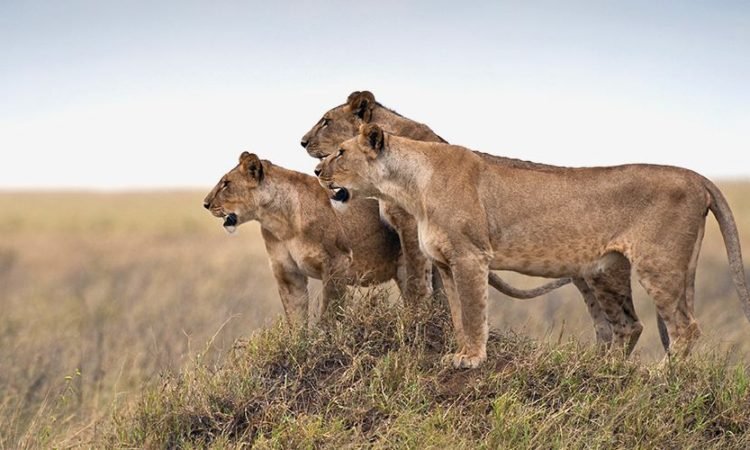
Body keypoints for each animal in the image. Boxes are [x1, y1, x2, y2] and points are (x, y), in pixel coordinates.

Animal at [204, 153, 568, 326]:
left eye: (225, 184)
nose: (206, 204)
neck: (278, 219)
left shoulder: (337, 262)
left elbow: (330, 310)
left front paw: (324, 338)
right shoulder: (287, 273)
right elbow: (296, 315)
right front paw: (299, 346)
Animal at [300, 90, 624, 348]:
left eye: (326, 121)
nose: (302, 141)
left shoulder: (411, 226)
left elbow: (417, 279)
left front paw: (416, 320)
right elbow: (438, 286)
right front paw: (443, 323)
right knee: (606, 326)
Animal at [318, 124, 750, 370]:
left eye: (340, 152)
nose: (317, 170)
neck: (409, 185)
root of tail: (696, 176)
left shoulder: (471, 256)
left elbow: (474, 312)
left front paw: (473, 360)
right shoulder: (444, 263)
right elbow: (458, 314)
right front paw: (459, 353)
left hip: (657, 264)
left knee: (686, 327)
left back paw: (660, 376)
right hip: (608, 269)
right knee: (632, 325)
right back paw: (609, 371)